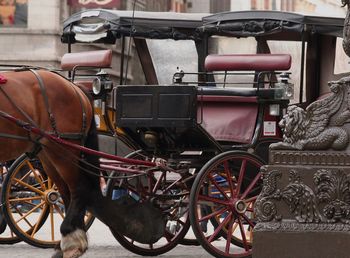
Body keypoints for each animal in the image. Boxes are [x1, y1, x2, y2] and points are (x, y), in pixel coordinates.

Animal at [0, 69, 164, 258]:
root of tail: (75, 88)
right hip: (49, 152)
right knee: (66, 192)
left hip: (64, 148)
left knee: (78, 188)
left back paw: (71, 239)